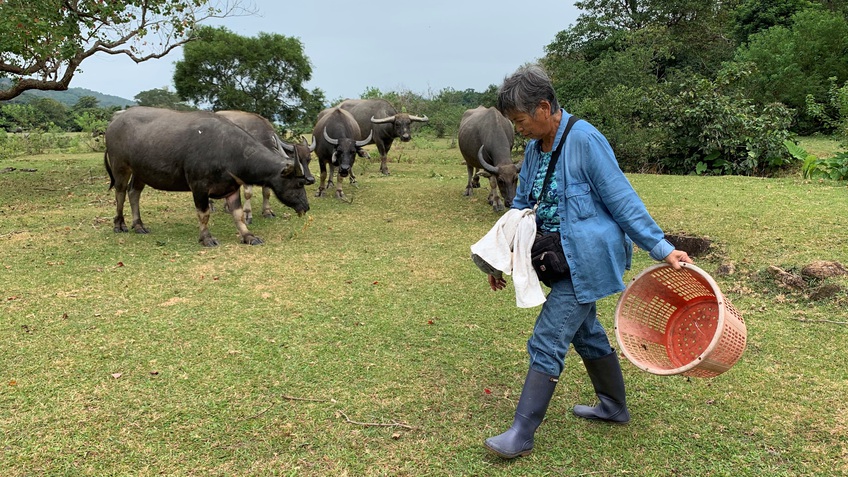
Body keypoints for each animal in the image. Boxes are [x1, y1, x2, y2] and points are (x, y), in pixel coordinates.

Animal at [102, 107, 308, 245]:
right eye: (299, 183)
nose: (306, 206)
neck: (228, 150)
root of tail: (115, 120)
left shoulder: (231, 186)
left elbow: (238, 215)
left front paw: (248, 236)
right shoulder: (198, 187)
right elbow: (204, 214)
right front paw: (206, 238)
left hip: (140, 172)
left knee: (134, 193)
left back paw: (139, 225)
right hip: (120, 166)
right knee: (120, 193)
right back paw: (119, 225)